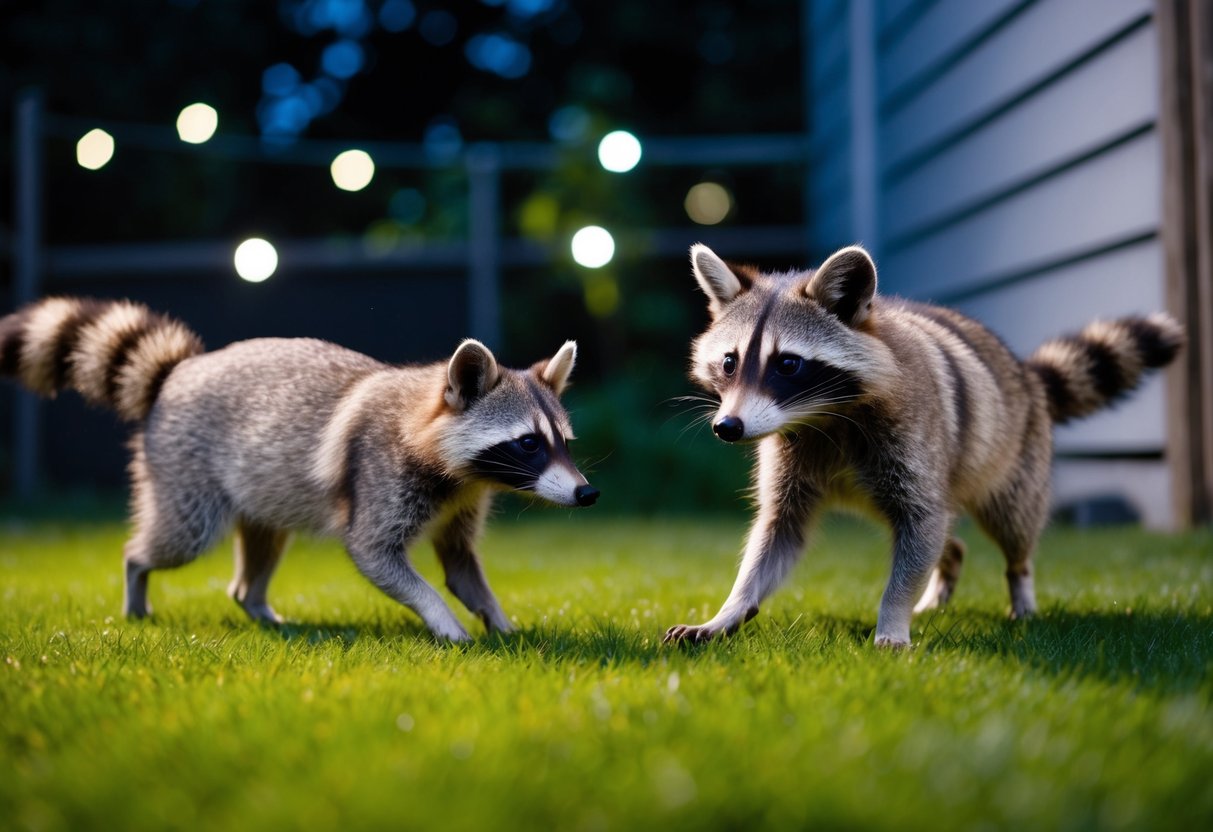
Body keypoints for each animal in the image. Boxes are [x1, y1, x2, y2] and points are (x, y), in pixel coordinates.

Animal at [0, 297, 599, 641]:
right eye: (528, 444)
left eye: (565, 444)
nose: (586, 494)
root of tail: (176, 374)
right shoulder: (381, 471)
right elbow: (375, 554)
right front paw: (444, 622)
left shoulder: (462, 499)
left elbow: (460, 566)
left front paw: (498, 620)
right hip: (184, 472)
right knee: (176, 539)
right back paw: (136, 580)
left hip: (261, 489)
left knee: (263, 548)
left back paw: (256, 604)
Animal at [665, 244, 1184, 648]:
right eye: (729, 362)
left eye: (788, 363)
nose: (728, 427)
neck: (823, 416)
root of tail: (1026, 375)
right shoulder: (793, 457)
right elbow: (775, 535)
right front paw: (731, 608)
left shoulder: (910, 436)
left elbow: (919, 529)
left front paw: (893, 616)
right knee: (943, 535)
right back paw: (949, 565)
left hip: (1011, 459)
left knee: (1009, 526)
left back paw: (1020, 585)